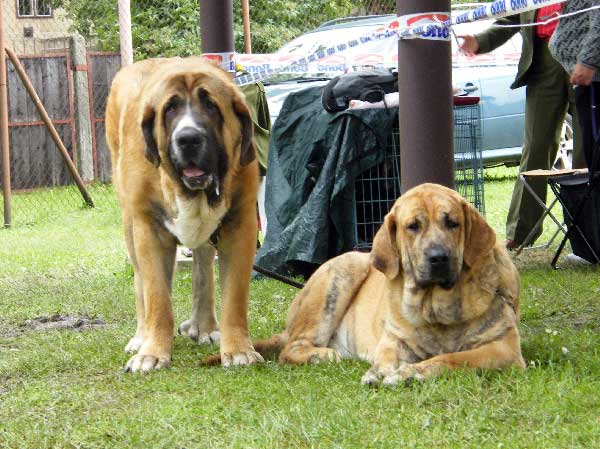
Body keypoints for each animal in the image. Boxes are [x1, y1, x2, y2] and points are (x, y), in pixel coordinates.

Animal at [105, 56, 262, 372]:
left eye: (211, 105)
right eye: (170, 109)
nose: (188, 138)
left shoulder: (240, 225)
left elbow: (234, 297)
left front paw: (238, 349)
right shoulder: (148, 229)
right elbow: (157, 296)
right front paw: (153, 353)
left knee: (203, 271)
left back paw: (205, 327)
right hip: (129, 224)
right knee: (140, 281)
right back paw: (141, 337)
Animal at [213, 184, 524, 384]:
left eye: (452, 223)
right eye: (413, 226)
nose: (438, 257)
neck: (437, 308)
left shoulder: (504, 348)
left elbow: (453, 359)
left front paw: (414, 371)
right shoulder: (394, 340)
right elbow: (386, 356)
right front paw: (380, 371)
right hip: (343, 271)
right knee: (291, 349)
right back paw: (323, 355)